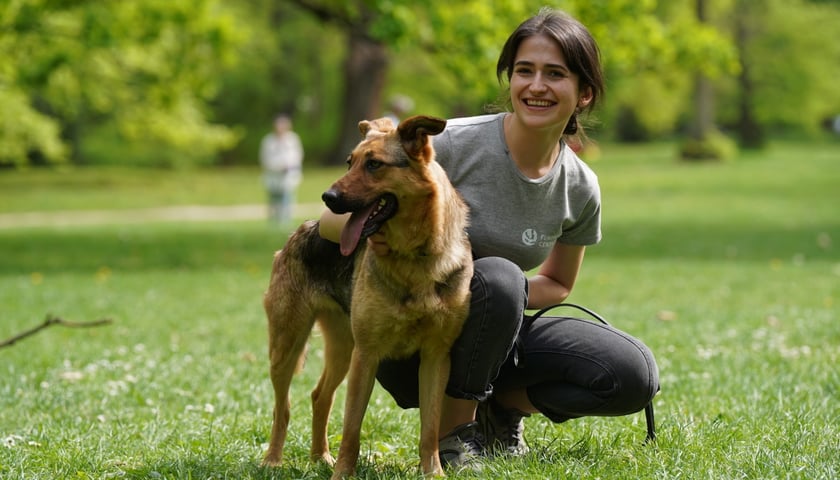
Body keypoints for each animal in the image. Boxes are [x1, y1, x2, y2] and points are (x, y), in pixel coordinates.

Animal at [260, 114, 472, 478]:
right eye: (350, 162)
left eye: (374, 164)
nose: (327, 197)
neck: (414, 258)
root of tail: (300, 229)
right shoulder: (367, 354)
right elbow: (351, 430)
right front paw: (343, 474)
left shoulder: (435, 358)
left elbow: (429, 429)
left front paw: (433, 472)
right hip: (288, 345)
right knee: (282, 407)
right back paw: (273, 459)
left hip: (342, 348)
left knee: (319, 396)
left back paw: (320, 457)